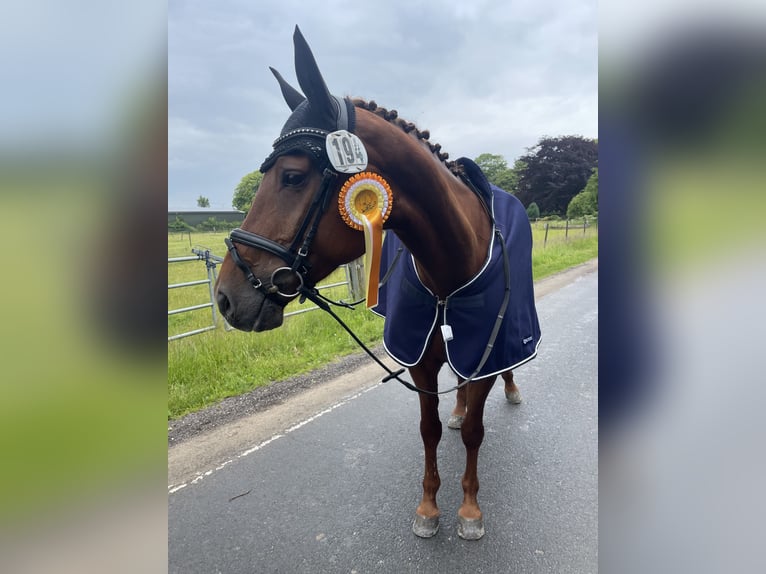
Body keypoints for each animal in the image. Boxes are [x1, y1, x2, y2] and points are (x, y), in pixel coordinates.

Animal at [216, 25, 540, 540]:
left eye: (292, 176)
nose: (227, 297)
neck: (449, 267)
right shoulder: (422, 360)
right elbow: (429, 429)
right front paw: (429, 505)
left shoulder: (482, 351)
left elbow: (476, 432)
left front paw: (469, 509)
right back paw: (457, 408)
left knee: (497, 372)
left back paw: (509, 390)